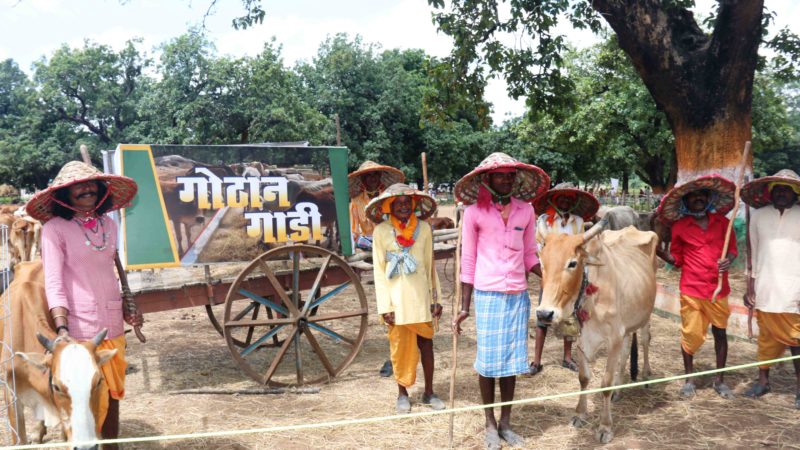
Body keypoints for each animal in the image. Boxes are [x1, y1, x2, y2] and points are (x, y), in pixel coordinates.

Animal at [536, 221, 656, 442]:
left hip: (645, 315)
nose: (544, 313)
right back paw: (620, 387)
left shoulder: (614, 337)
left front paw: (605, 427)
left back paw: (646, 374)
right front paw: (580, 414)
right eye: (542, 263)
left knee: (645, 340)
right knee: (626, 352)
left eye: (572, 263)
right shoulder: (583, 339)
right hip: (627, 327)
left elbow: (605, 383)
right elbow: (584, 377)